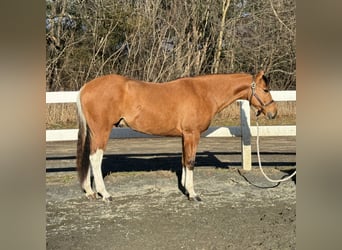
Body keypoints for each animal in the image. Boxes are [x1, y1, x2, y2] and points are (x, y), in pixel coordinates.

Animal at [76, 70, 276, 201]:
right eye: (266, 90)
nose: (273, 112)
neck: (204, 93)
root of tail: (85, 88)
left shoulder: (184, 136)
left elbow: (184, 160)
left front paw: (186, 189)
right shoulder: (192, 134)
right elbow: (191, 162)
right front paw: (193, 194)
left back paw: (90, 191)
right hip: (102, 131)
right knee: (95, 158)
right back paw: (105, 194)